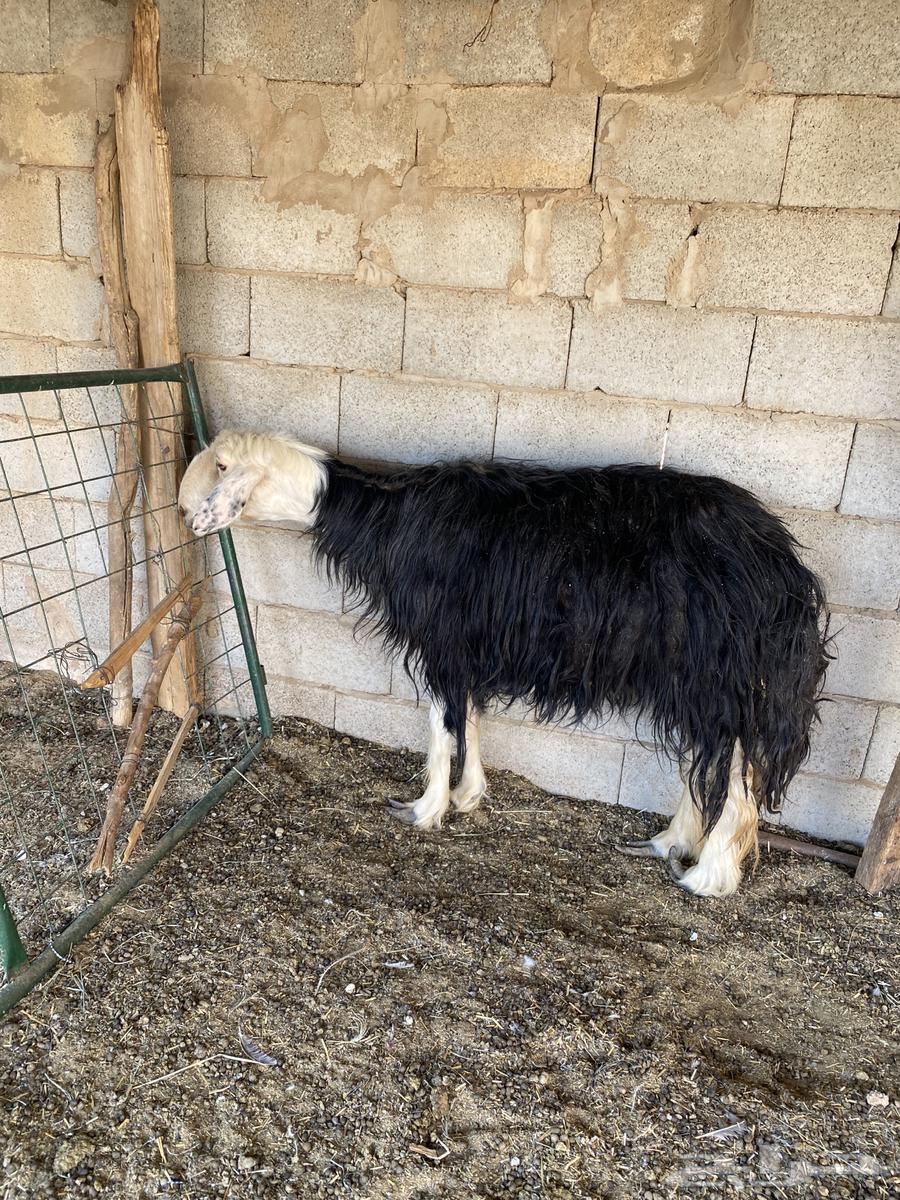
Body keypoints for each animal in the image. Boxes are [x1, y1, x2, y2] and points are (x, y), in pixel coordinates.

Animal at [179, 429, 830, 897]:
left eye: (220, 466)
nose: (184, 513)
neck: (386, 519)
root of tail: (782, 568)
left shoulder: (442, 638)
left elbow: (442, 723)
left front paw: (426, 809)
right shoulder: (468, 642)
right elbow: (467, 715)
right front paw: (468, 795)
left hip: (725, 678)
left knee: (738, 773)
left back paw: (707, 876)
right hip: (698, 680)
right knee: (709, 759)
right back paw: (671, 843)